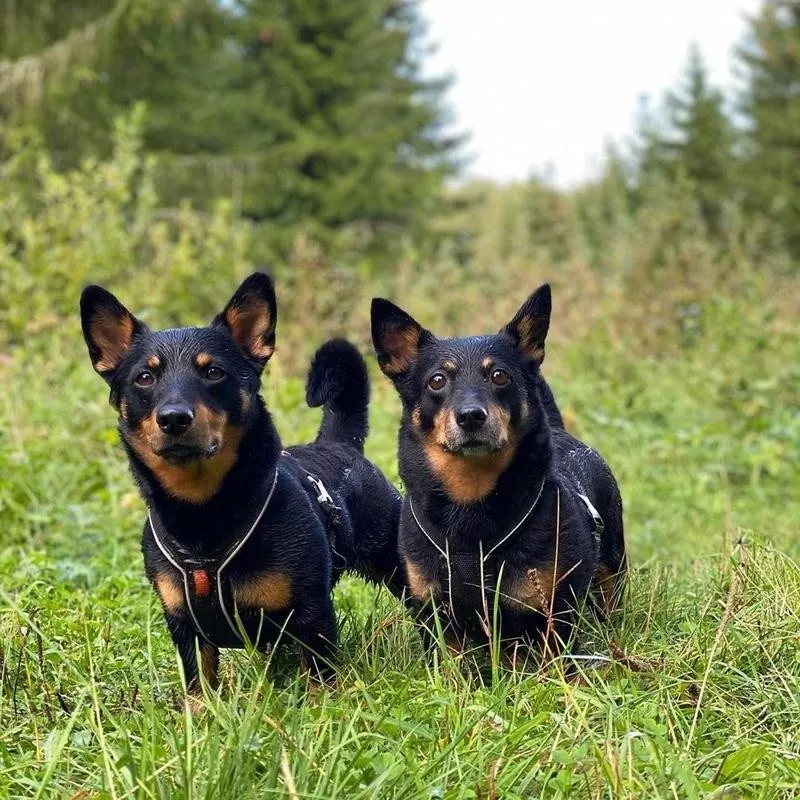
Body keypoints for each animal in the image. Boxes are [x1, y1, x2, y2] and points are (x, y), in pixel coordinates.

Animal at [80, 274, 404, 700]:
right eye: (144, 378)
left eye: (213, 372)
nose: (173, 418)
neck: (202, 517)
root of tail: (338, 443)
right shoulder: (184, 627)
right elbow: (198, 685)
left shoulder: (313, 615)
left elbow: (320, 682)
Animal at [372, 284, 628, 660]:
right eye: (437, 381)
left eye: (499, 375)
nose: (471, 416)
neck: (470, 503)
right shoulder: (435, 619)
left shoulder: (552, 620)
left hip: (611, 563)